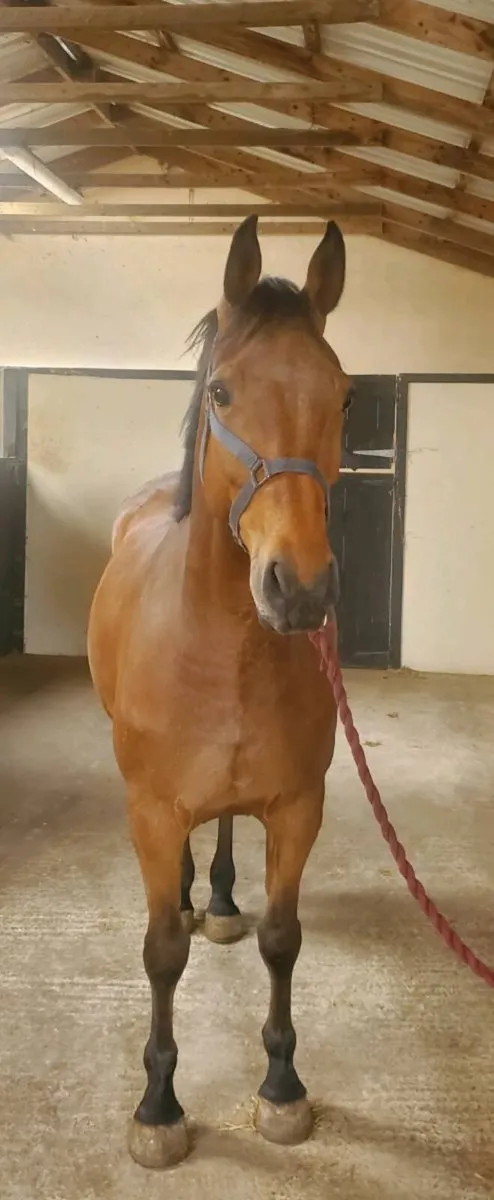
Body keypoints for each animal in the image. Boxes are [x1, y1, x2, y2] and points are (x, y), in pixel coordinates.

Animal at [87, 215, 354, 1169]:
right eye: (225, 394)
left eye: (345, 398)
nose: (298, 590)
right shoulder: (152, 811)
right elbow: (163, 952)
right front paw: (160, 1105)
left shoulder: (298, 805)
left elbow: (283, 939)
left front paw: (281, 1085)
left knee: (230, 833)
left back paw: (225, 899)